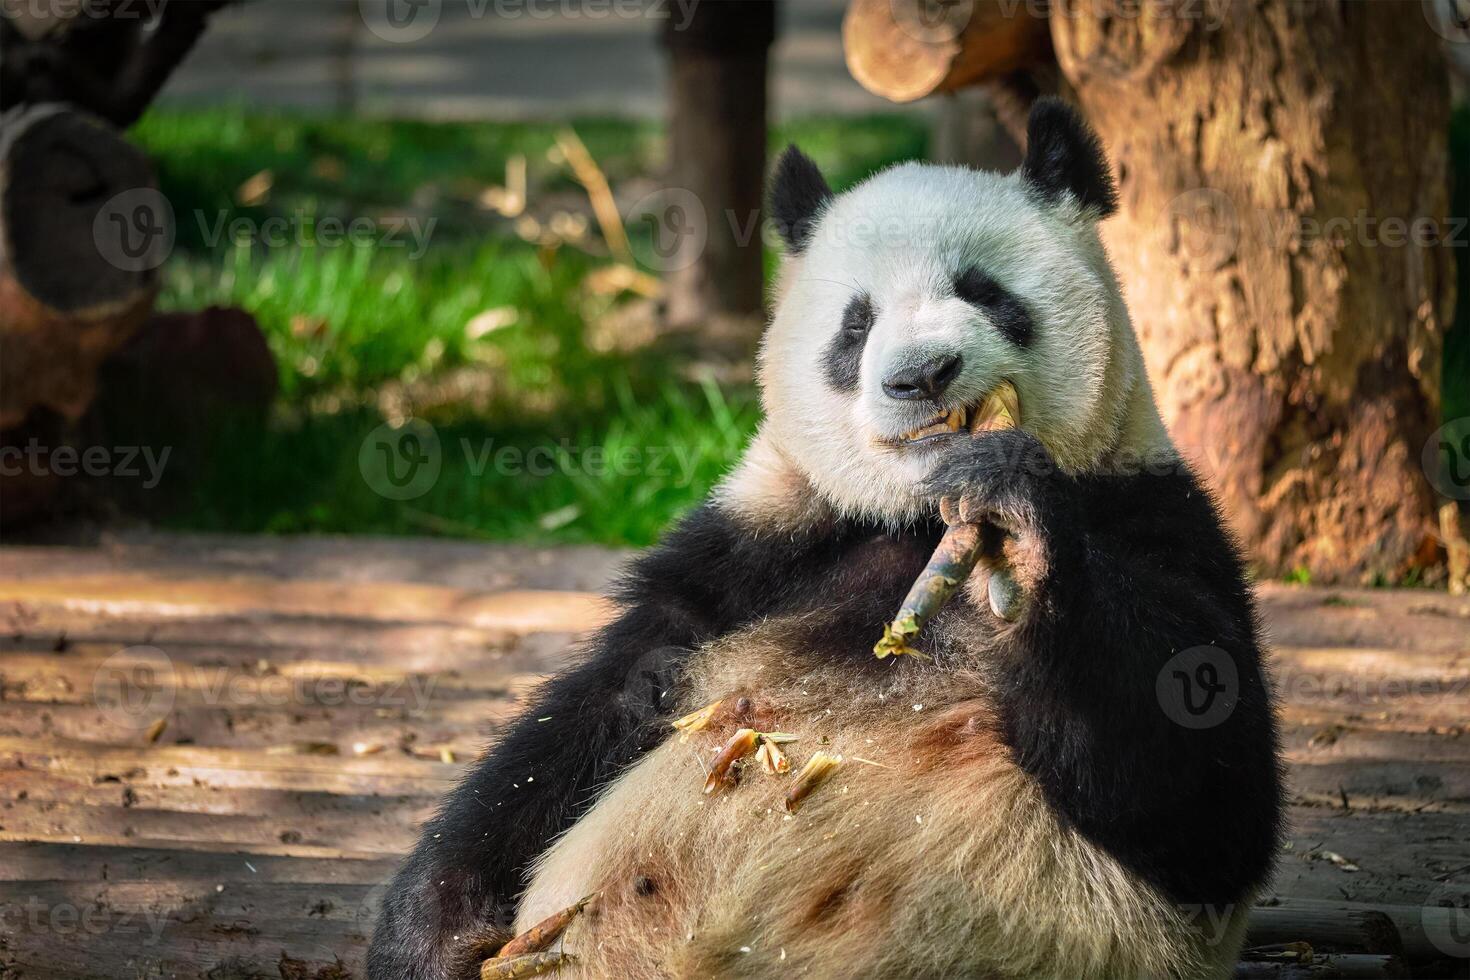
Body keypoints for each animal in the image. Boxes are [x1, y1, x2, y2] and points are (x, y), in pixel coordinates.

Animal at [370, 101, 1287, 980]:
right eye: (855, 325)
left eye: (986, 291)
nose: (920, 376)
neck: (915, 517)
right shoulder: (760, 548)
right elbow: (592, 714)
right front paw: (428, 930)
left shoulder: (1156, 521)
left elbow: (1206, 803)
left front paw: (1015, 525)